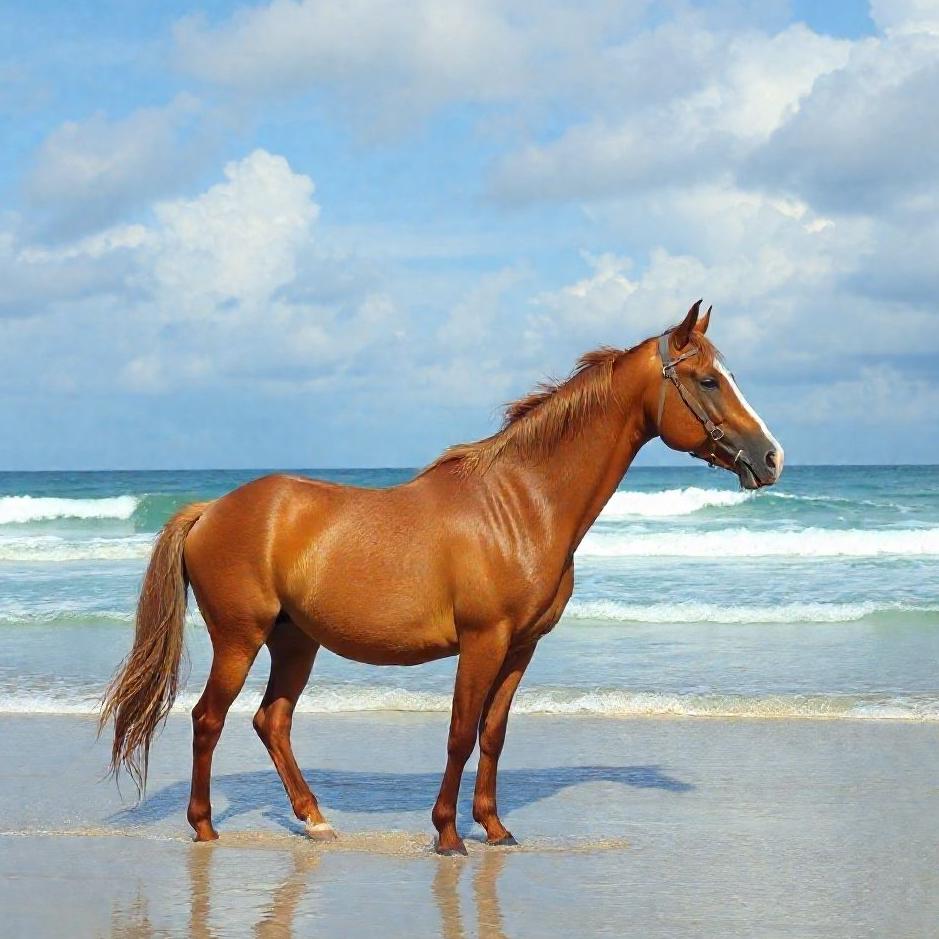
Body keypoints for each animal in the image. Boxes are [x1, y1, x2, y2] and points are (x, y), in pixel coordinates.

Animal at [100, 300, 783, 854]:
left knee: (273, 721)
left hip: (296, 641)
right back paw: (205, 827)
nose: (771, 457)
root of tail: (210, 509)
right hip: (240, 639)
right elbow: (459, 732)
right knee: (207, 720)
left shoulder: (521, 647)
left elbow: (493, 734)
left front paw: (496, 829)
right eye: (707, 380)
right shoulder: (482, 641)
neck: (521, 503)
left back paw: (316, 820)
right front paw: (449, 834)